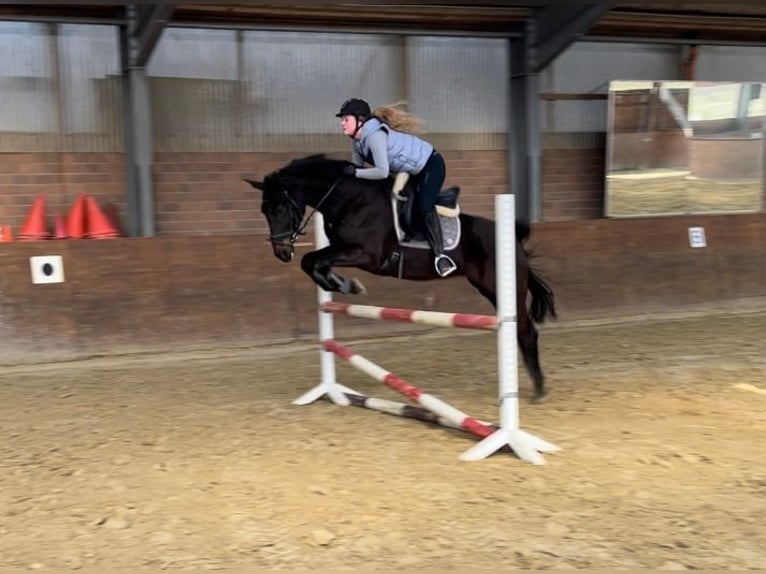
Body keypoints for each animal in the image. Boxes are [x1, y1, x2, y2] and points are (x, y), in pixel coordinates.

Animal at [246, 155, 560, 402]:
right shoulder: (342, 250)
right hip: (490, 288)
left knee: (526, 332)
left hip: (504, 288)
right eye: (264, 210)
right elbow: (313, 261)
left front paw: (347, 285)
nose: (281, 251)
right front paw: (339, 284)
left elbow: (311, 260)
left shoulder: (367, 254)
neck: (349, 199)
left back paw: (538, 390)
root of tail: (514, 238)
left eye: (280, 208)